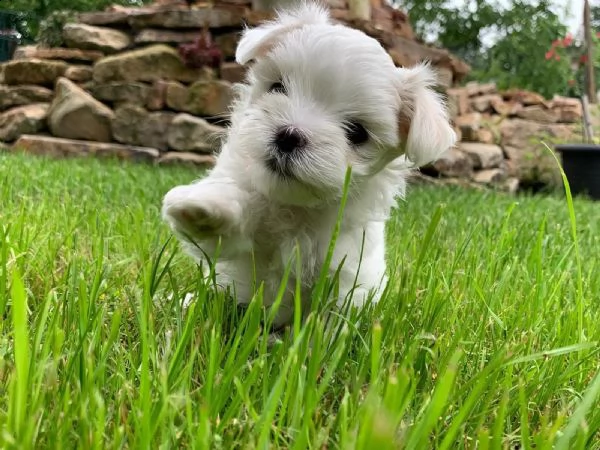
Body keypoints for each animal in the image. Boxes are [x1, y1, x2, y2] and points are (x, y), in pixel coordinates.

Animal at [162, 1, 458, 328]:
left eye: (357, 133)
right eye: (277, 87)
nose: (289, 135)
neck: (295, 208)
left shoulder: (347, 273)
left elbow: (330, 319)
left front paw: (317, 340)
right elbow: (223, 231)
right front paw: (202, 207)